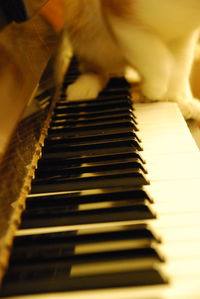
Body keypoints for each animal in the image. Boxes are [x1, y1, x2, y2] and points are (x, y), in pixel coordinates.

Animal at [57, 0, 200, 122]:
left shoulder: (184, 37)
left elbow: (180, 68)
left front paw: (173, 99)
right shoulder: (122, 20)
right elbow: (157, 57)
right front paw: (153, 89)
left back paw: (187, 104)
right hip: (88, 29)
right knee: (95, 68)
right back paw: (84, 86)